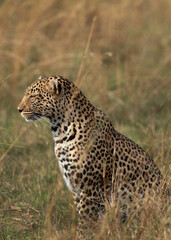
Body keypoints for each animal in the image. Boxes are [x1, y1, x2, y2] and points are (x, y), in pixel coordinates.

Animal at [17, 74, 168, 238]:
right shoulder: (75, 185)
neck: (60, 131)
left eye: (33, 96)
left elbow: (86, 218)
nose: (19, 109)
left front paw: (82, 236)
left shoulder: (89, 187)